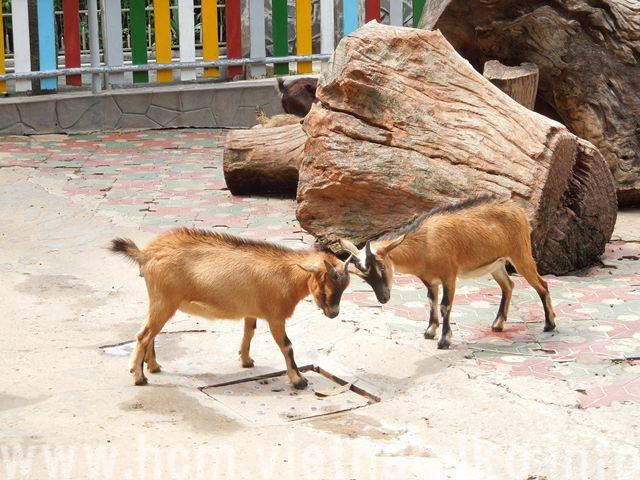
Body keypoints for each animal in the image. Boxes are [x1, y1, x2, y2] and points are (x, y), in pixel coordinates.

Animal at [111, 228, 351, 388]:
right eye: (325, 287)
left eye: (344, 287)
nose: (334, 313)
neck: (287, 275)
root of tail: (146, 254)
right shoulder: (275, 316)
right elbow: (287, 345)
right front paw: (298, 380)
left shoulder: (251, 311)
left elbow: (249, 332)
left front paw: (246, 361)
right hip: (164, 301)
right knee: (143, 335)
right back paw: (139, 377)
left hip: (162, 302)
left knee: (150, 333)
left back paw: (153, 366)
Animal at [340, 197, 556, 349]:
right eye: (365, 278)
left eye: (382, 267)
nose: (383, 298)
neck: (425, 243)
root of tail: (517, 209)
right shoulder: (429, 280)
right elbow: (431, 301)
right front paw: (429, 331)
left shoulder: (449, 275)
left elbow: (445, 306)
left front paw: (444, 340)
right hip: (497, 265)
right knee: (508, 285)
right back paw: (497, 324)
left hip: (521, 254)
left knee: (542, 284)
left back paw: (550, 324)